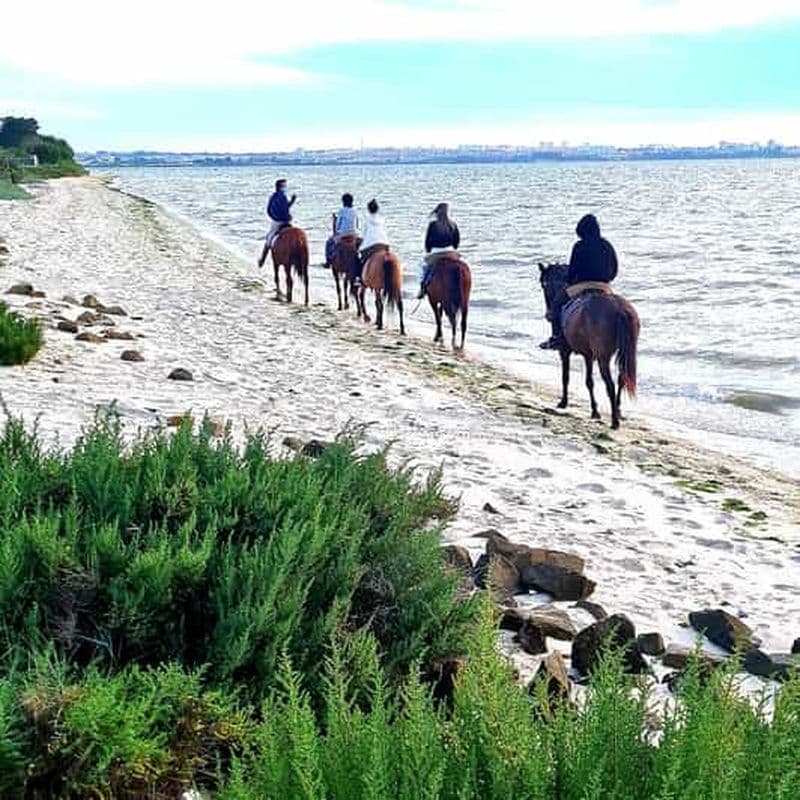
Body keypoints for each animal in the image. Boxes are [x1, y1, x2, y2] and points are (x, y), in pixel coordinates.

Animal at [537, 262, 639, 429]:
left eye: (543, 284)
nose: (548, 314)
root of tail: (618, 308)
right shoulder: (588, 354)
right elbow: (588, 381)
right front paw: (594, 410)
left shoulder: (567, 352)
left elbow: (569, 377)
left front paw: (565, 402)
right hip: (626, 352)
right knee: (622, 378)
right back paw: (617, 412)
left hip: (603, 357)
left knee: (609, 384)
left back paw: (614, 421)